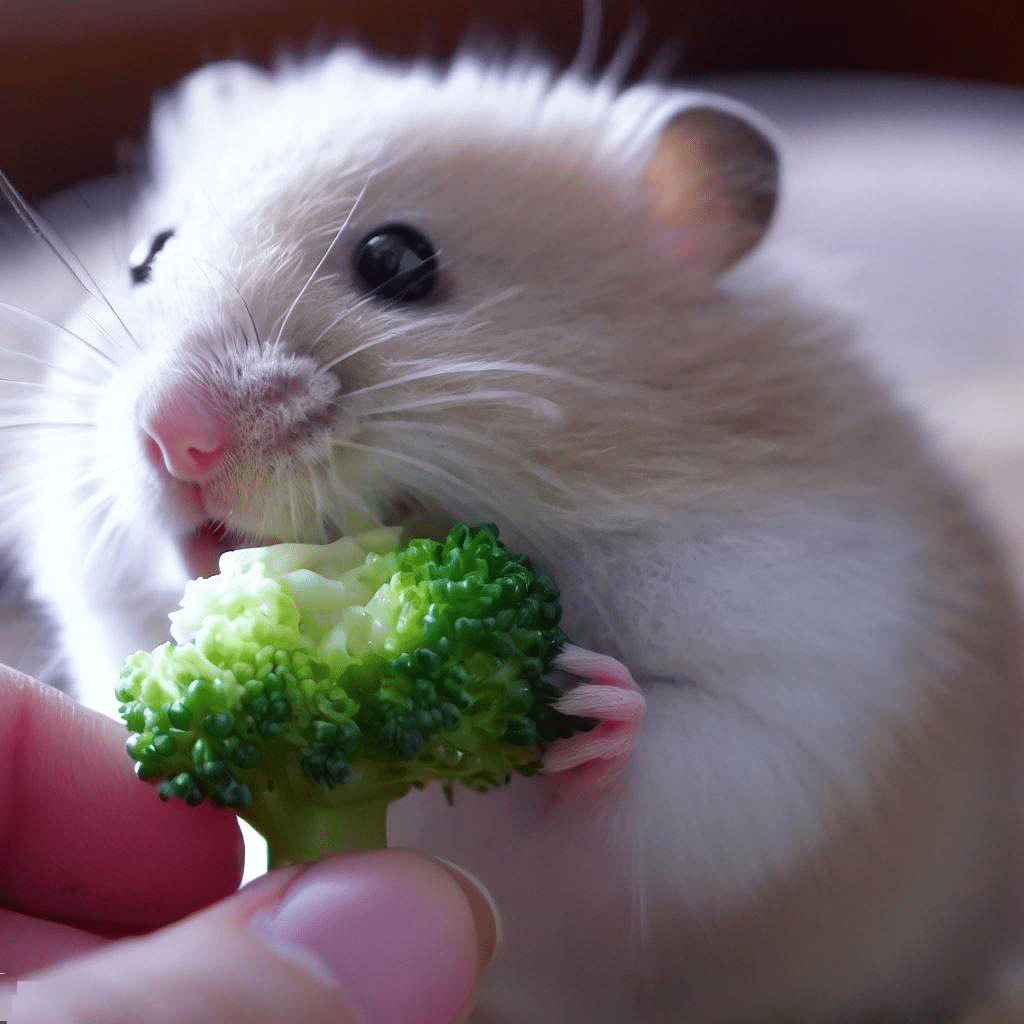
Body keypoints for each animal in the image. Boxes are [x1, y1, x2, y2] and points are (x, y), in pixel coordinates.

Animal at [2, 46, 1024, 1024]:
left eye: (398, 261)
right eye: (147, 255)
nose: (173, 434)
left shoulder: (810, 703)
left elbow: (661, 786)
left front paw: (588, 695)